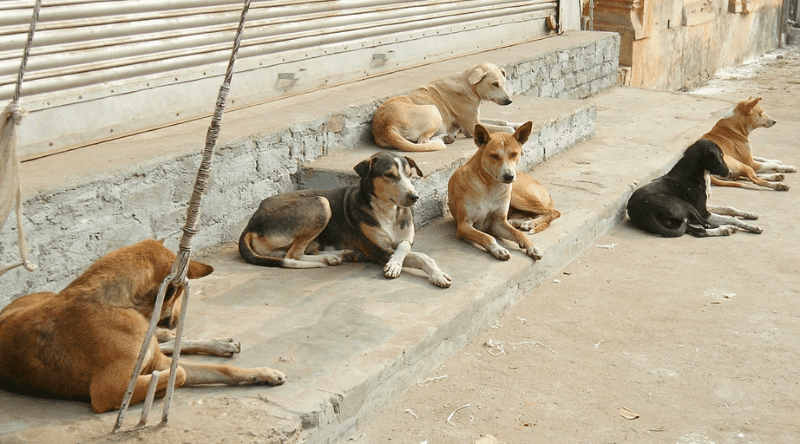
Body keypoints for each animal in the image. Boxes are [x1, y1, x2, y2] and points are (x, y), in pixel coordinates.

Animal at [0, 239, 286, 412]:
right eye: (179, 294)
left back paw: (217, 344)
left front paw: (262, 373)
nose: (176, 318)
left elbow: (219, 370)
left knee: (167, 341)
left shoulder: (157, 360)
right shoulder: (109, 390)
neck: (121, 303)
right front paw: (157, 392)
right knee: (168, 344)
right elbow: (181, 373)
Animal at [238, 150, 450, 288]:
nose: (414, 197)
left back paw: (339, 255)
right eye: (389, 175)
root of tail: (251, 223)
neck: (388, 212)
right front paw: (395, 265)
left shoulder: (406, 240)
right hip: (321, 203)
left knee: (294, 253)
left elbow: (407, 248)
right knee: (293, 255)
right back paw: (332, 257)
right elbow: (418, 255)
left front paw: (436, 274)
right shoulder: (379, 251)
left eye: (410, 174)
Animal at [374, 61, 524, 153]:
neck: (468, 86)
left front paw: (519, 124)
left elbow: (502, 121)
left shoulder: (476, 119)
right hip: (434, 111)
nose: (509, 101)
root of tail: (385, 127)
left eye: (503, 83)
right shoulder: (472, 126)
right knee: (422, 142)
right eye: (494, 84)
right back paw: (445, 138)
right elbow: (506, 129)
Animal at [444, 121, 556, 260]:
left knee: (554, 212)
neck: (490, 186)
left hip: (517, 197)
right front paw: (498, 249)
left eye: (514, 154)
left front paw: (532, 246)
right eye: (494, 156)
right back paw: (523, 222)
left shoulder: (497, 223)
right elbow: (487, 236)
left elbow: (518, 234)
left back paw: (529, 223)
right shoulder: (464, 225)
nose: (509, 176)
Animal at [624, 140, 764, 238]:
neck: (699, 174)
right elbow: (731, 218)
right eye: (719, 156)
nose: (730, 172)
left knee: (698, 230)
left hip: (679, 221)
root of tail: (645, 213)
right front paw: (751, 227)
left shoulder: (704, 206)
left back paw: (724, 230)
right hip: (686, 206)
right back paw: (725, 228)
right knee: (706, 226)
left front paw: (750, 215)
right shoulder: (703, 212)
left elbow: (729, 208)